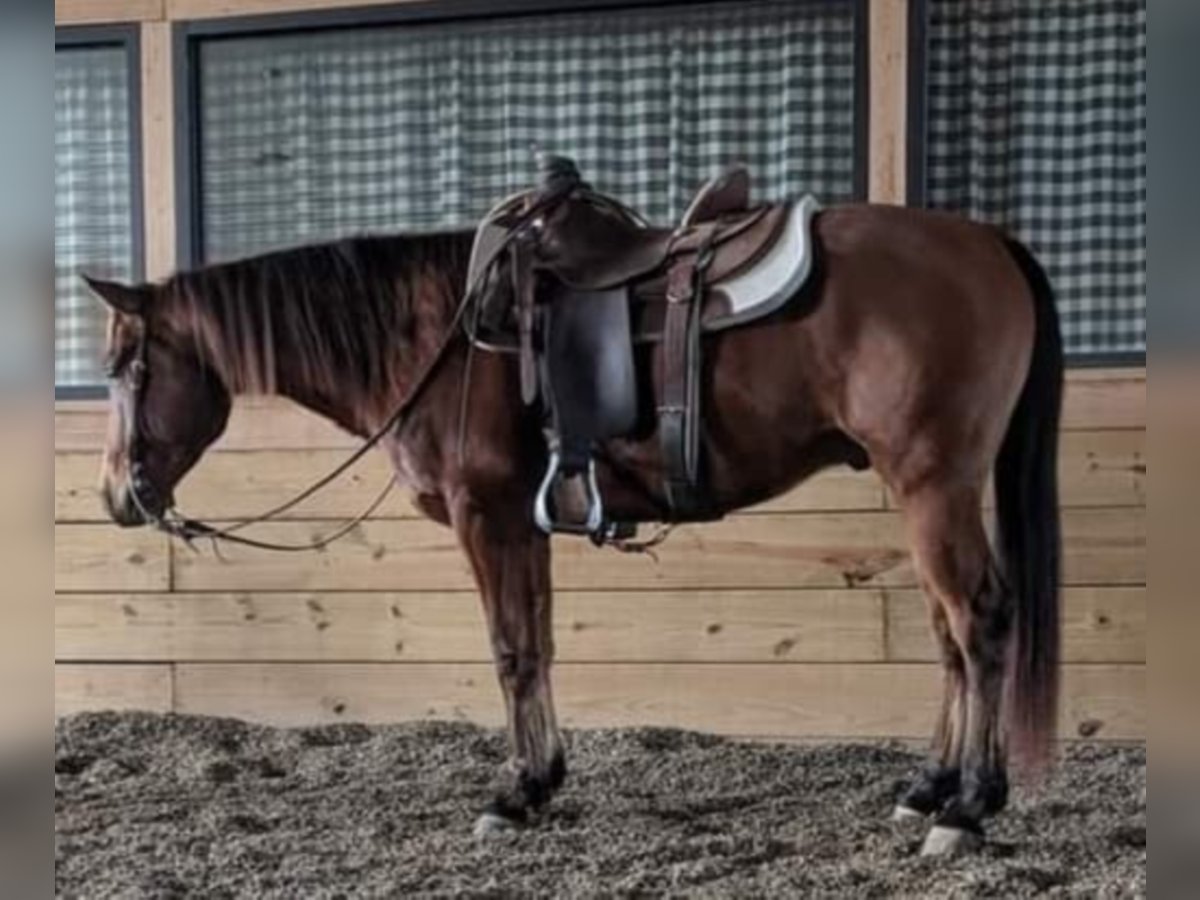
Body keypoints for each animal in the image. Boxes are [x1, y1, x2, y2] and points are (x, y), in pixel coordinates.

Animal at [82, 188, 1060, 854]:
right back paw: (927, 787)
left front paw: (514, 794)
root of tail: (987, 240)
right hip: (925, 492)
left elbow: (510, 652)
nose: (115, 497)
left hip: (934, 483)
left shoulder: (486, 516)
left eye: (124, 367)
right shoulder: (525, 521)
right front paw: (544, 781)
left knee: (979, 622)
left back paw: (970, 808)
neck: (436, 336)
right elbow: (540, 646)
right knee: (948, 634)